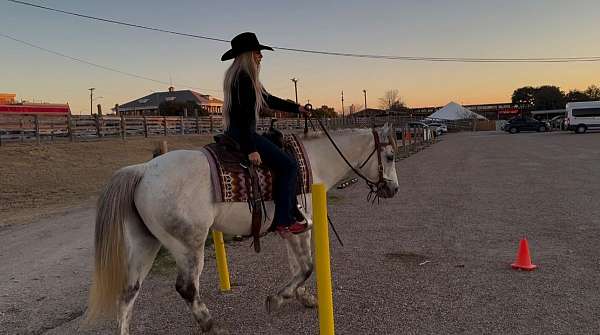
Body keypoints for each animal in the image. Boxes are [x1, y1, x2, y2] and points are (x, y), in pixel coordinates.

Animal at [85, 124, 398, 335]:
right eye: (391, 156)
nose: (393, 189)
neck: (313, 163)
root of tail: (143, 170)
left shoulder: (291, 228)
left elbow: (298, 266)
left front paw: (304, 297)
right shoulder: (303, 225)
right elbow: (307, 266)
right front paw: (277, 299)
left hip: (145, 245)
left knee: (128, 293)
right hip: (189, 246)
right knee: (186, 287)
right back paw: (209, 323)